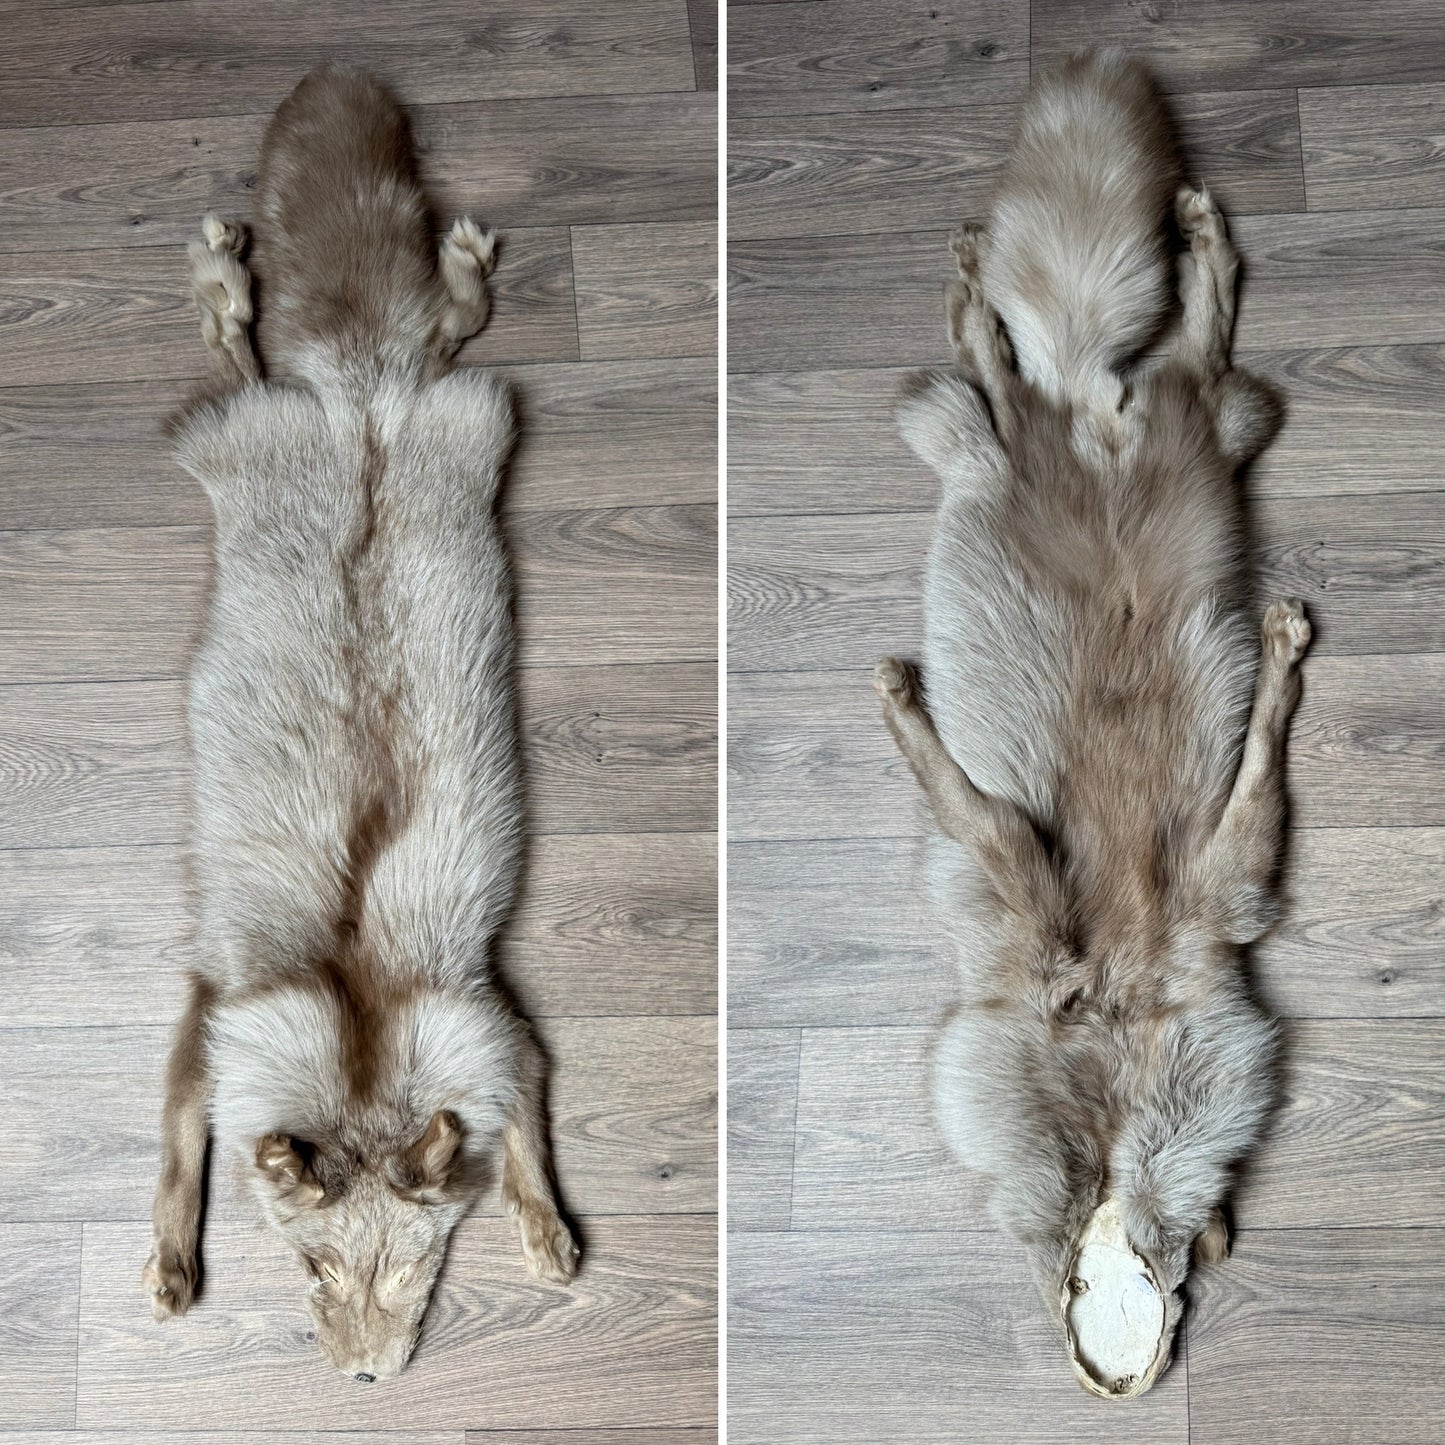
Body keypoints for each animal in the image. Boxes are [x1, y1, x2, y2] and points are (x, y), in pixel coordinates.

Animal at [143, 65, 578, 1381]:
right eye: (312, 1267)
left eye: (417, 1267)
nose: (370, 1376)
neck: (357, 1011)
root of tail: (358, 399)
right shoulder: (215, 1017)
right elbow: (180, 1147)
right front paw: (172, 1261)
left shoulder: (492, 1024)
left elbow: (526, 1128)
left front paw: (546, 1224)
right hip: (277, 428)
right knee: (245, 359)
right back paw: (225, 281)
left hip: (455, 417)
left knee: (443, 330)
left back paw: (453, 265)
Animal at [874, 49, 1308, 1398]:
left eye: (1156, 1293)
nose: (1166, 1251)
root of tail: (1088, 402)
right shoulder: (1046, 911)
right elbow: (983, 811)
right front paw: (902, 705)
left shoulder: (1200, 922)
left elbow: (1249, 775)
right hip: (1063, 440)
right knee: (1008, 374)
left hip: (1187, 436)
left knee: (1181, 352)